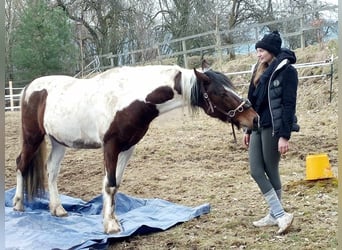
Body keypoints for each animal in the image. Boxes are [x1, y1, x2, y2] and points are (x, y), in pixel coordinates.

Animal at [12, 60, 260, 234]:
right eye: (221, 92)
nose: (254, 118)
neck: (130, 98)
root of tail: (29, 88)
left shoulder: (128, 147)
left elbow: (116, 184)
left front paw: (113, 221)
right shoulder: (110, 146)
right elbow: (110, 184)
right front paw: (111, 226)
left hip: (59, 141)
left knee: (52, 171)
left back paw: (58, 209)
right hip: (33, 137)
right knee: (21, 164)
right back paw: (18, 206)